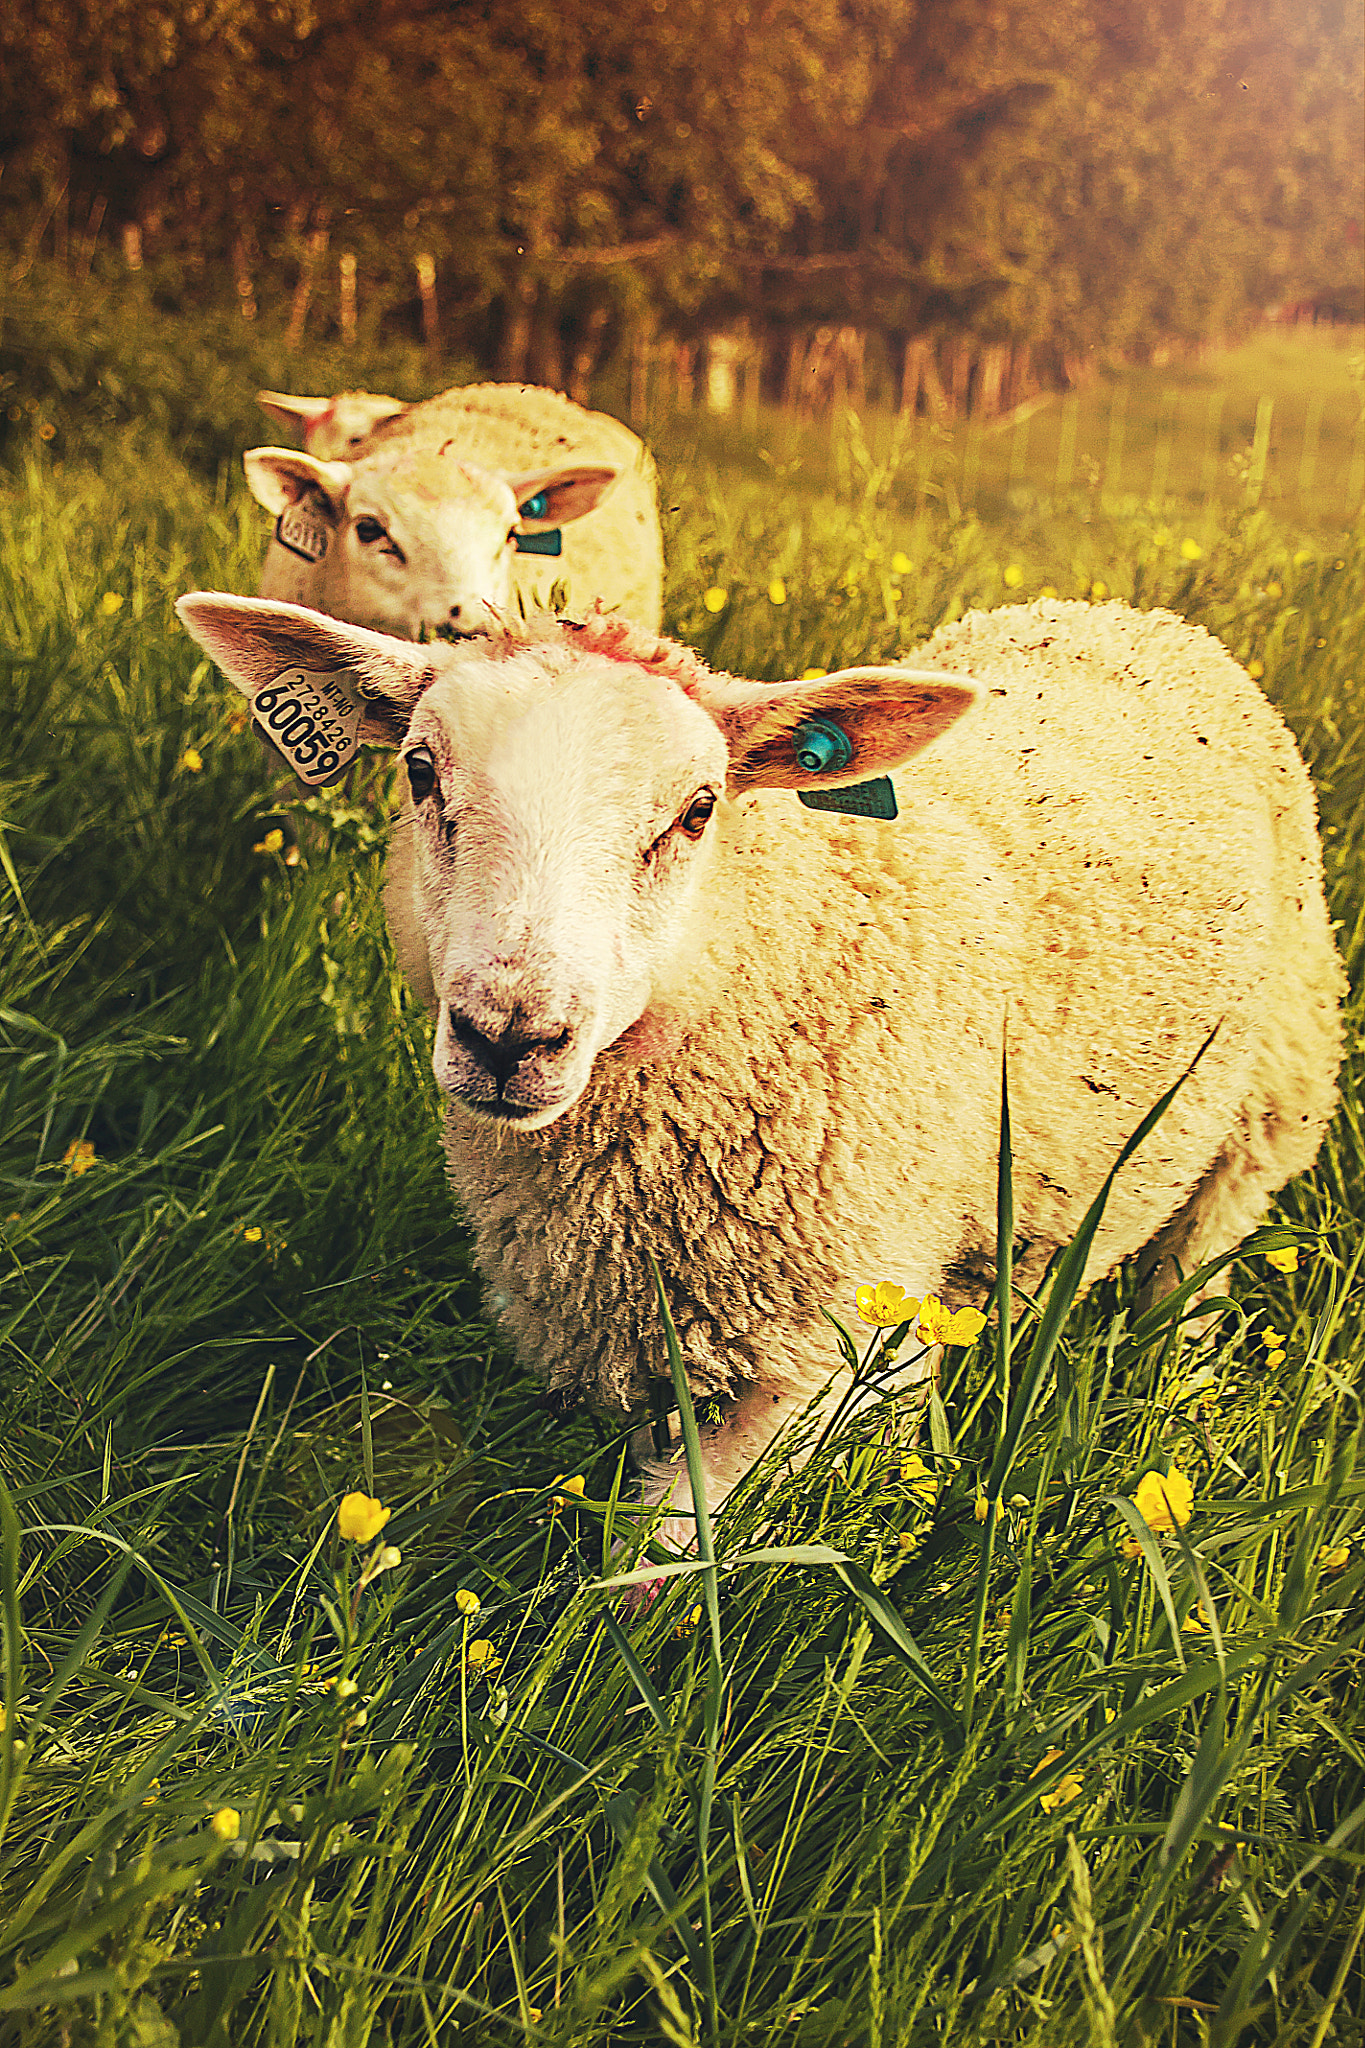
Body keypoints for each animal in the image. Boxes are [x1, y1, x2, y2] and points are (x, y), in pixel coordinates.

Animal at [175, 592, 1345, 1547]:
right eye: (420, 771)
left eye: (698, 809)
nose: (511, 1035)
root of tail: (1140, 617)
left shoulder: (834, 1350)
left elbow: (659, 1565)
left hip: (1278, 1090)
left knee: (1200, 1256)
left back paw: (1181, 1385)